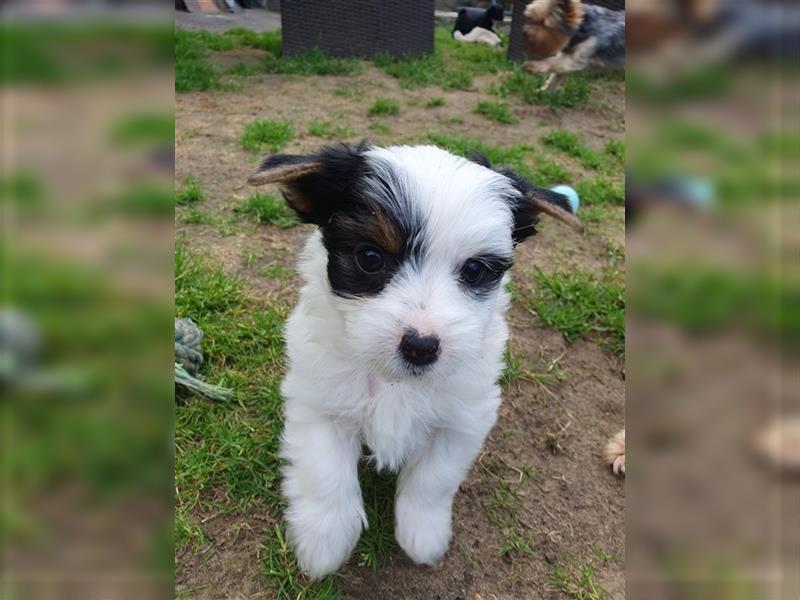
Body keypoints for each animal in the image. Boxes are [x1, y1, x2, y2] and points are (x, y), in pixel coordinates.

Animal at [247, 143, 580, 580]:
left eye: (475, 270)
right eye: (370, 257)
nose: (421, 346)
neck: (396, 382)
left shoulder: (464, 417)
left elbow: (433, 477)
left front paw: (423, 534)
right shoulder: (317, 400)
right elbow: (324, 469)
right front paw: (324, 540)